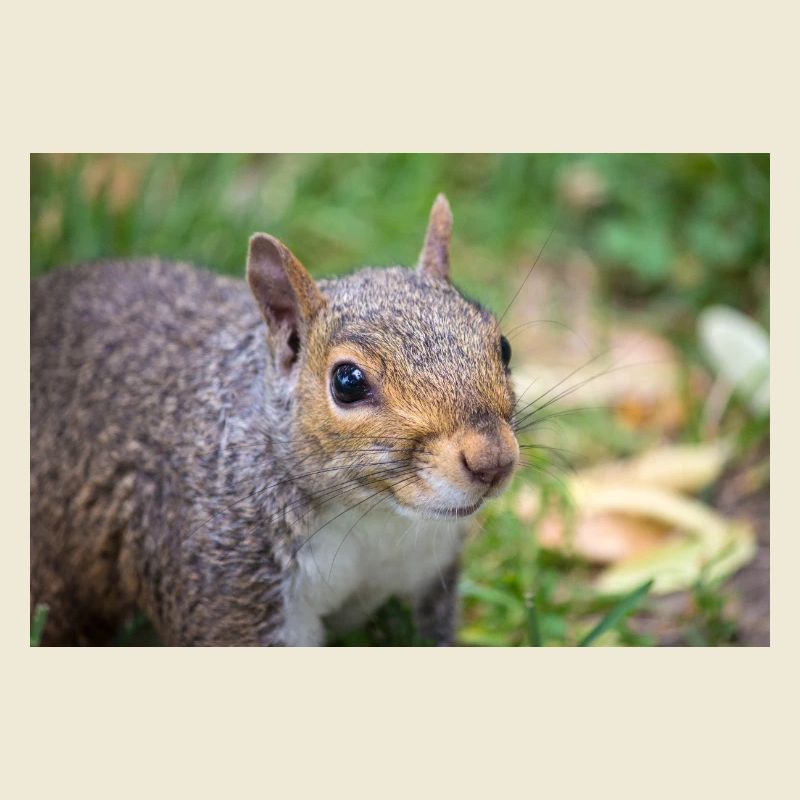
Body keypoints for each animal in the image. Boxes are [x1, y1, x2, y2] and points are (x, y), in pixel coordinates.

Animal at [30, 194, 520, 646]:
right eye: (347, 382)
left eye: (504, 347)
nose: (492, 461)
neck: (374, 516)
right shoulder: (231, 583)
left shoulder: (427, 571)